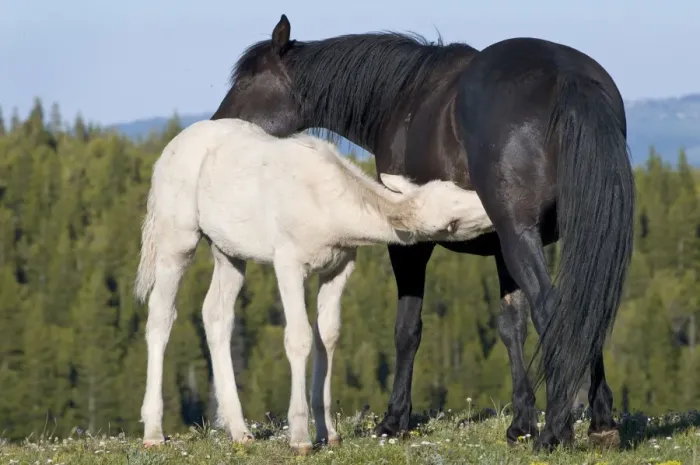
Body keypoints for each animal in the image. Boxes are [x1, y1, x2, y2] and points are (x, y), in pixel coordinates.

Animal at [134, 118, 494, 453]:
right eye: (456, 220)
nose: (493, 208)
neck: (330, 209)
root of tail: (167, 151)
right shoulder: (288, 263)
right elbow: (299, 338)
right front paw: (300, 437)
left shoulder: (340, 266)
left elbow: (328, 335)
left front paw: (328, 432)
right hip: (176, 237)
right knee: (161, 316)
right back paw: (154, 432)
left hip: (228, 251)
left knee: (216, 314)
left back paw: (239, 430)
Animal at [210, 15, 635, 451]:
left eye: (247, 81)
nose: (215, 126)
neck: (403, 97)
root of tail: (568, 78)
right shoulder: (503, 249)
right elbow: (511, 325)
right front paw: (520, 423)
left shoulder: (412, 245)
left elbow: (407, 328)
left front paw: (394, 419)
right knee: (587, 307)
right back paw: (600, 422)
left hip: (522, 238)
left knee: (554, 311)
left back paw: (555, 432)